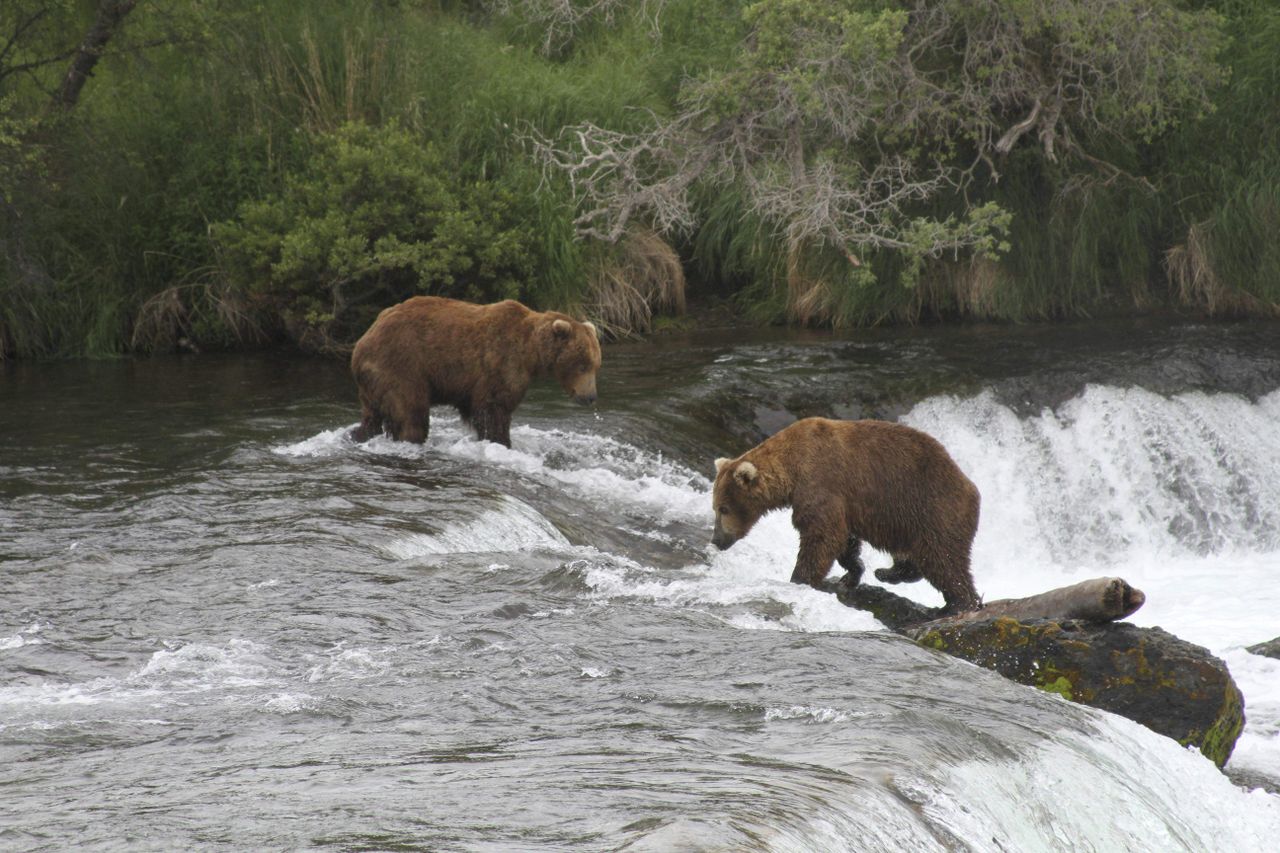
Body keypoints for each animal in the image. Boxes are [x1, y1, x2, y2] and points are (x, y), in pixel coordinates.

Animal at [348, 294, 601, 445]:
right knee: (410, 413)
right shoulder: (500, 363)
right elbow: (494, 408)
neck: (531, 352)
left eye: (596, 365)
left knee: (372, 416)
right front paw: (501, 441)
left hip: (374, 382)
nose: (590, 396)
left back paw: (357, 434)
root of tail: (361, 342)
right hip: (401, 365)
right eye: (582, 365)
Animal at [711, 417, 977, 612]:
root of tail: (971, 487)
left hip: (933, 509)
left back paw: (959, 604)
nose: (716, 540)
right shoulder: (841, 502)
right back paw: (888, 572)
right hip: (907, 522)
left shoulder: (821, 482)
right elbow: (844, 540)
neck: (792, 468)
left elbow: (822, 536)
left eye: (723, 509)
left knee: (943, 560)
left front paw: (799, 579)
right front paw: (852, 573)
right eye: (715, 508)